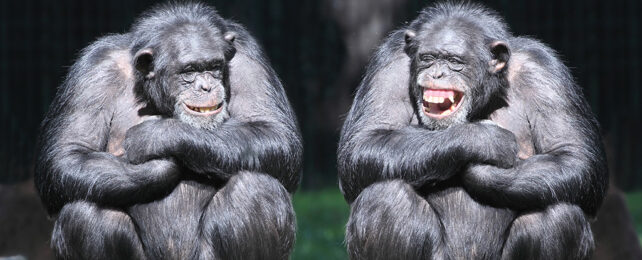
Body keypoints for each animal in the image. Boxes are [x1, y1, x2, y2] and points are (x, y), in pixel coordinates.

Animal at [35, 3, 302, 258]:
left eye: (215, 66)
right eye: (189, 71)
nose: (206, 87)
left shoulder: (247, 56)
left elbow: (273, 131)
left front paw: (155, 137)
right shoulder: (93, 71)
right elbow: (68, 154)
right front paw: (160, 166)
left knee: (255, 189)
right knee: (87, 210)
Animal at [338, 2, 608, 260]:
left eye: (454, 62)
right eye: (427, 58)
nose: (437, 73)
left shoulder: (545, 73)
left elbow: (574, 156)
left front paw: (483, 172)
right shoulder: (390, 62)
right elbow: (366, 140)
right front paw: (486, 140)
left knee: (555, 211)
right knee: (386, 197)